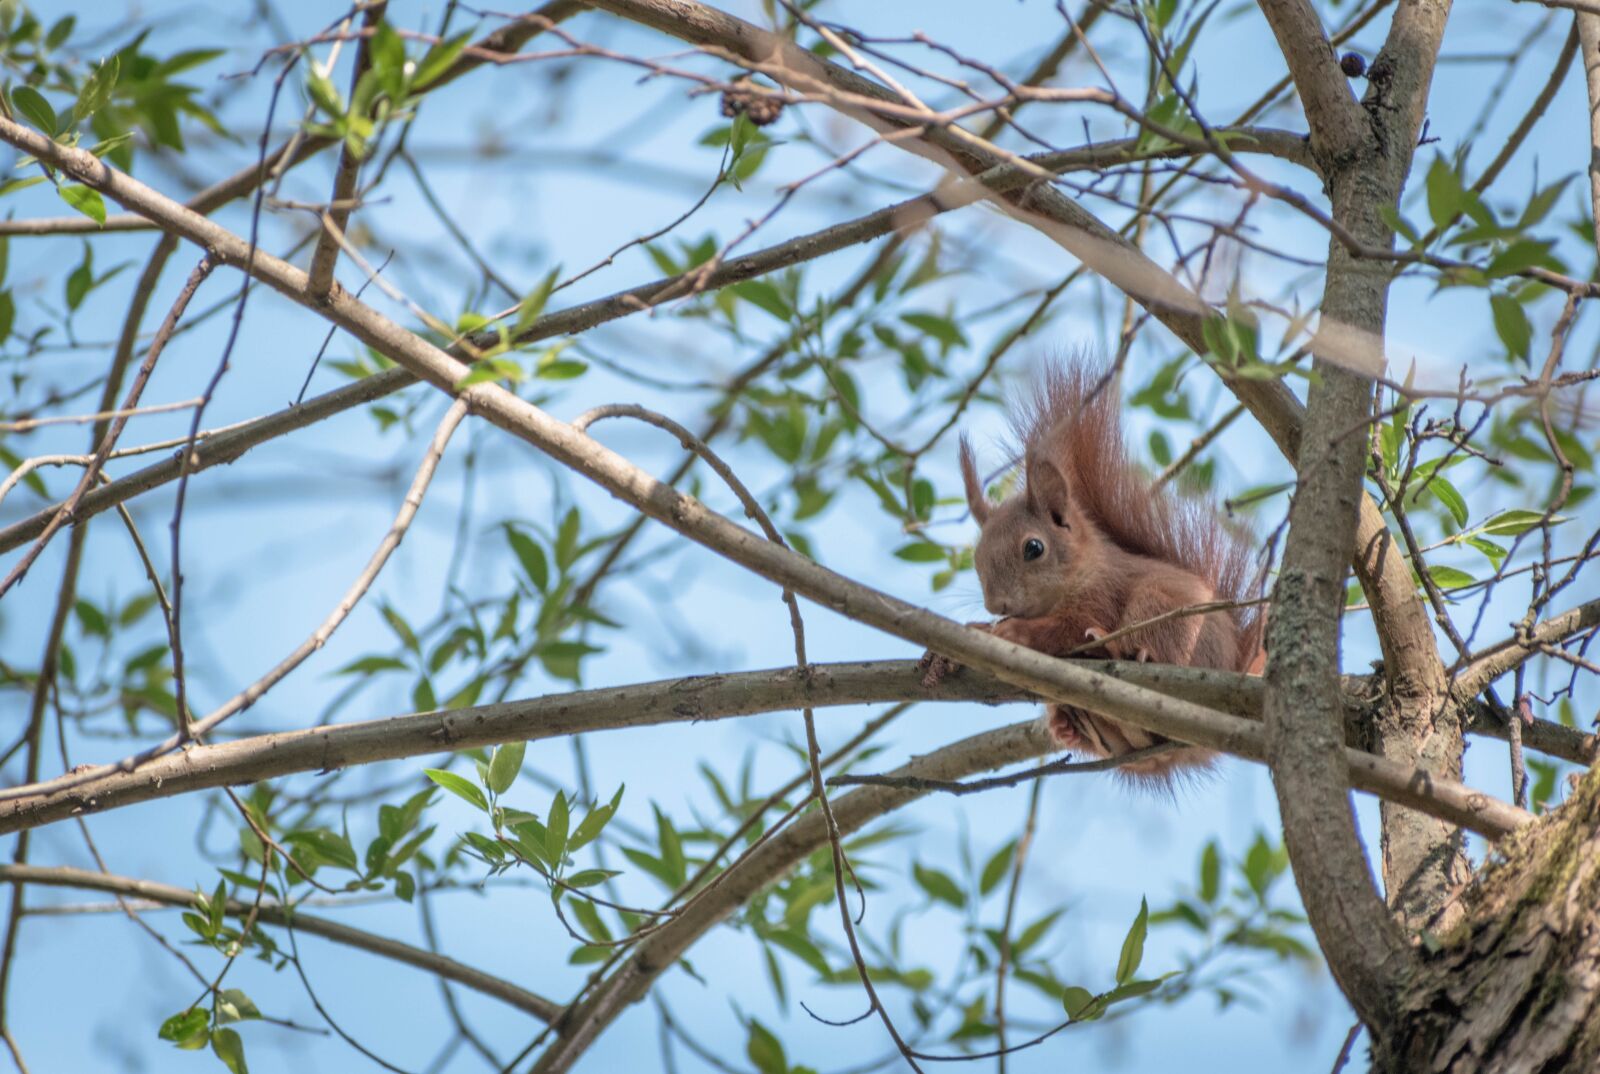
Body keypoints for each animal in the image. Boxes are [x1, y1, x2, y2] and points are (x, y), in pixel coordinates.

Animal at [919, 359, 1267, 780]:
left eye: (1034, 548)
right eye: (976, 557)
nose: (996, 605)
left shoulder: (1102, 592)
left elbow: (1069, 626)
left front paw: (1015, 632)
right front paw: (970, 637)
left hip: (1163, 608)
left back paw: (1120, 650)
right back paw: (1074, 725)